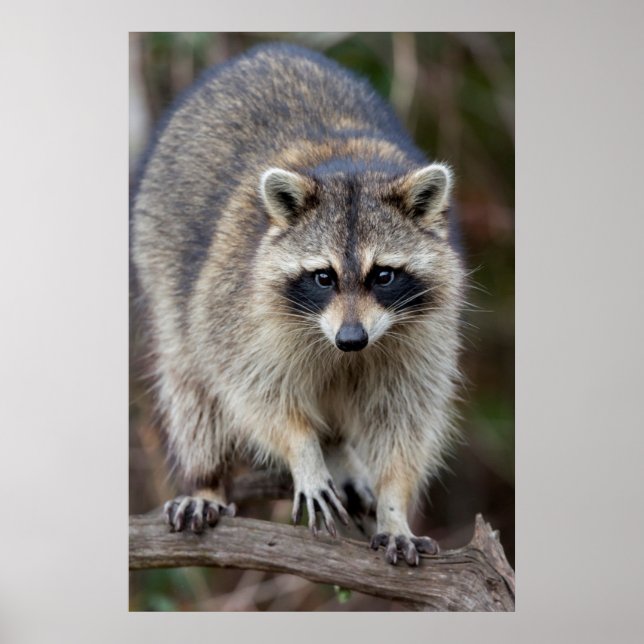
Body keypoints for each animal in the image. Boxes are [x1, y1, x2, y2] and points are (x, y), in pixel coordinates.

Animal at [132, 43, 465, 566]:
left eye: (383, 275)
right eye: (323, 277)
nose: (352, 339)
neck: (348, 166)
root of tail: (265, 52)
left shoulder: (424, 334)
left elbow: (405, 419)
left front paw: (394, 506)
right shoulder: (238, 310)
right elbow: (257, 395)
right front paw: (303, 451)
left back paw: (340, 453)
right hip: (160, 253)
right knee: (192, 387)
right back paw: (207, 481)